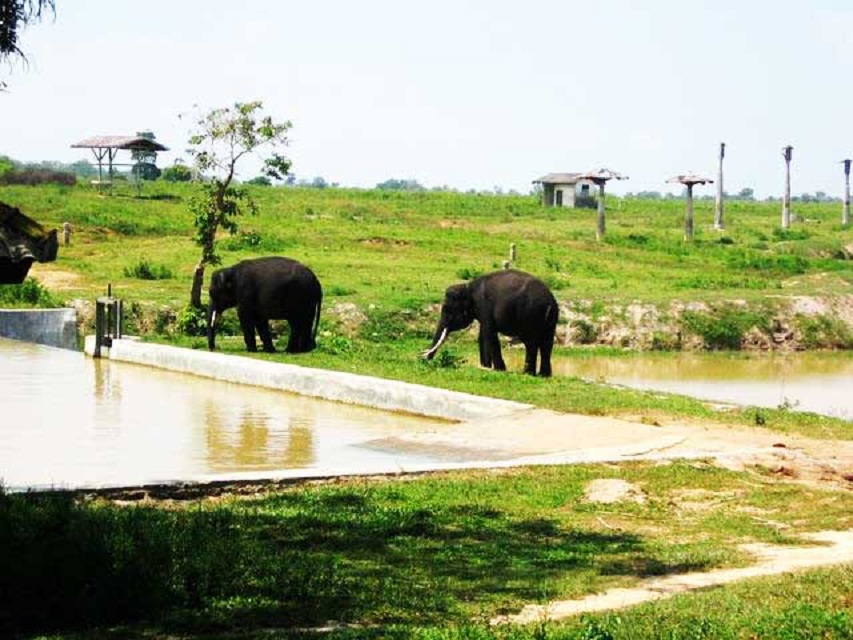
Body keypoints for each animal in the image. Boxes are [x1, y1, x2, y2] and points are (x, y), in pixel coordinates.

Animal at [422, 268, 556, 376]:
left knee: (531, 343)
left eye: (448, 311)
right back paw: (544, 375)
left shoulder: (484, 306)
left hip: (530, 316)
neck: (468, 287)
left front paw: (499, 369)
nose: (424, 360)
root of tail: (549, 302)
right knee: (547, 344)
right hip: (550, 321)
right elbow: (483, 335)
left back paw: (528, 373)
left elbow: (489, 333)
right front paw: (485, 367)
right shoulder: (482, 311)